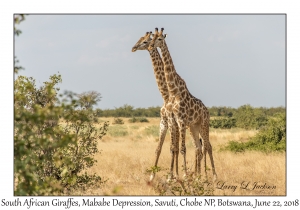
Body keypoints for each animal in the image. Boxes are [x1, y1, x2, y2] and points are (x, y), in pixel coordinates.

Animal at [149, 27, 217, 180]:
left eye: (159, 39)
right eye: (152, 38)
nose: (150, 46)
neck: (173, 92)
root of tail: (207, 110)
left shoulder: (180, 121)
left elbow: (182, 148)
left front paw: (183, 175)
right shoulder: (174, 121)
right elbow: (174, 148)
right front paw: (172, 176)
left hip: (204, 124)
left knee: (208, 146)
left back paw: (213, 176)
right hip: (194, 127)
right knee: (199, 147)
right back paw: (199, 176)